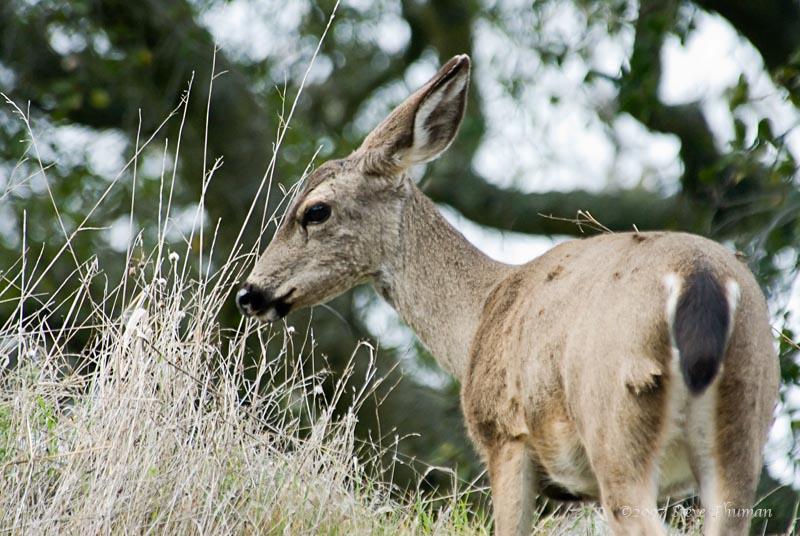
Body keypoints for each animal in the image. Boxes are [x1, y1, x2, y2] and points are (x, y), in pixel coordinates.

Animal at [234, 55, 780, 536]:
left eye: (316, 211)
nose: (250, 292)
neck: (477, 317)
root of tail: (701, 280)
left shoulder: (504, 435)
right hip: (745, 427)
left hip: (615, 422)